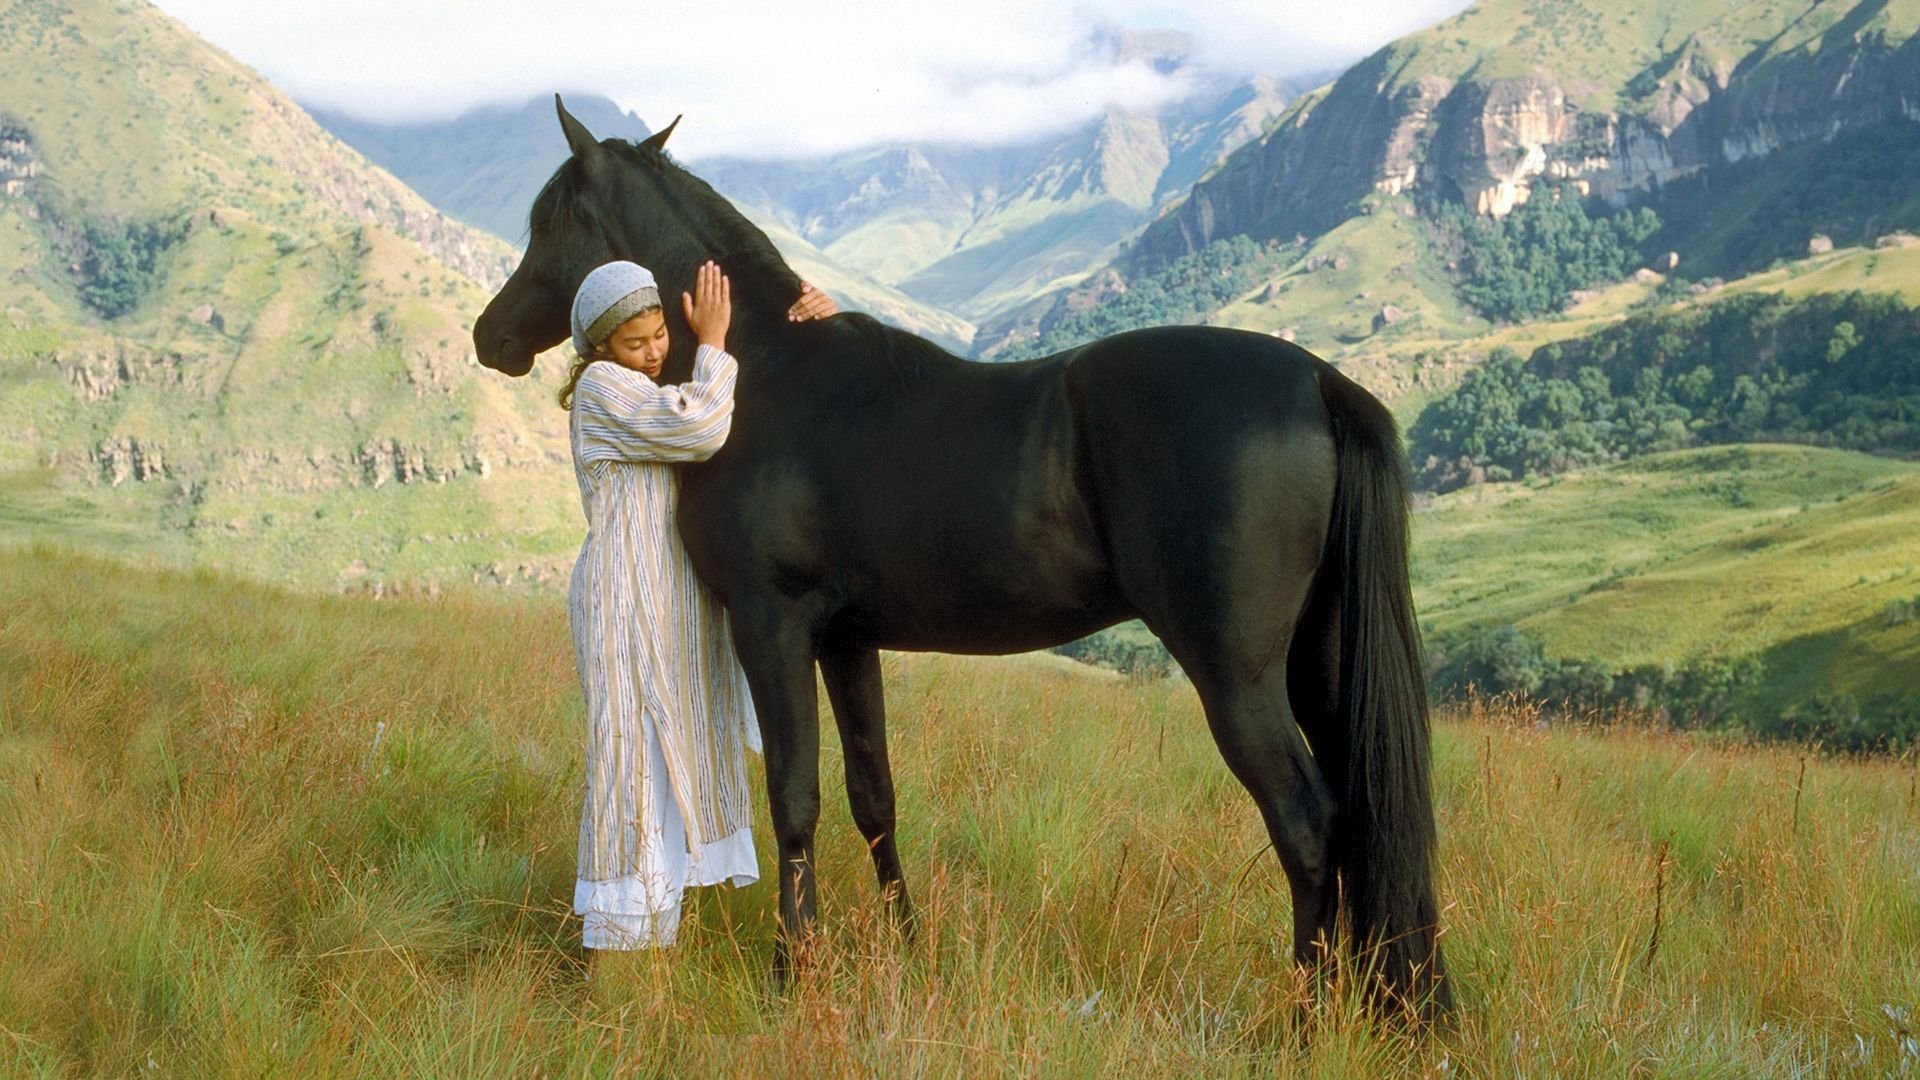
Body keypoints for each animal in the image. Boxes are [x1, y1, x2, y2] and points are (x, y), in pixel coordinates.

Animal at [473, 96, 1450, 1015]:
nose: (491, 336)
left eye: (546, 222)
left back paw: (1305, 1014)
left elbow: (795, 798)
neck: (763, 373)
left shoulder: (772, 624)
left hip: (1237, 674)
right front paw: (905, 947)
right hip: (1318, 663)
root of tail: (1315, 380)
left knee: (1308, 823)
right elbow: (872, 797)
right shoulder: (845, 641)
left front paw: (794, 973)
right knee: (1354, 813)